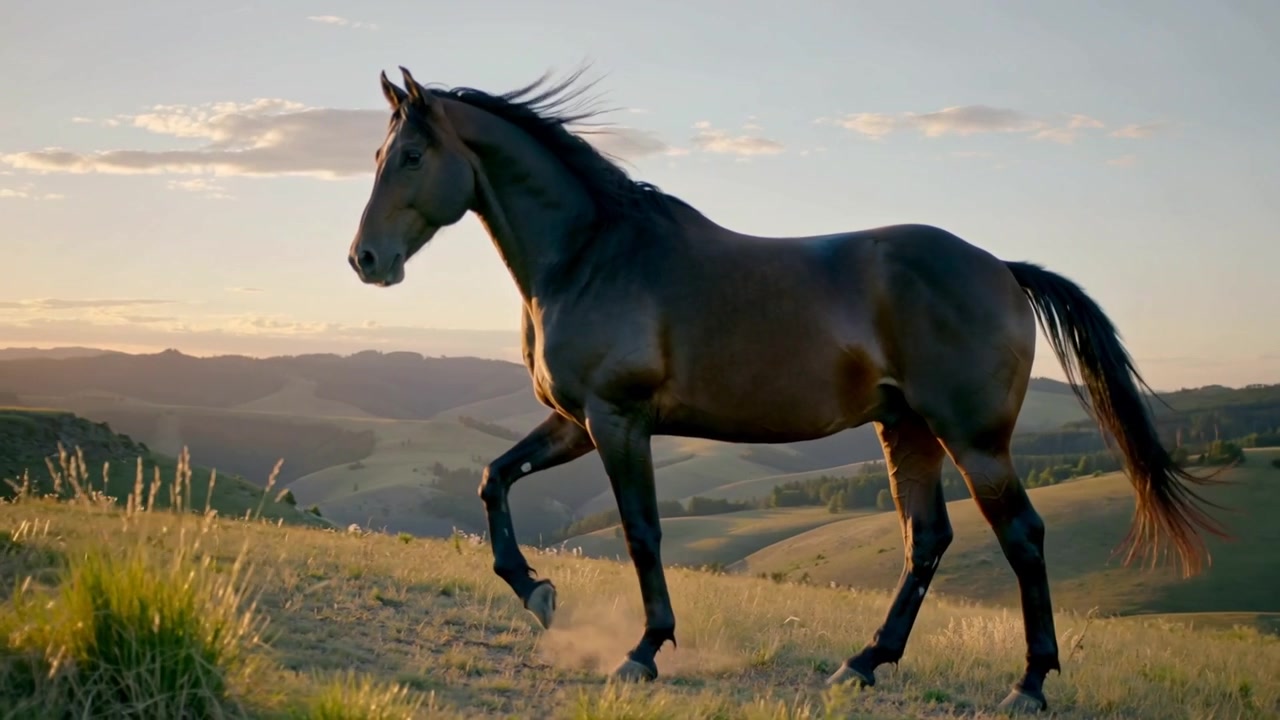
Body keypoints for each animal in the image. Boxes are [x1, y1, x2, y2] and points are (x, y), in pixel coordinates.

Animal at [345, 67, 1229, 713]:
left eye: (411, 157)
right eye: (378, 156)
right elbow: (493, 480)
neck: (592, 254)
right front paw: (537, 592)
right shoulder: (573, 420)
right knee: (927, 540)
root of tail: (1003, 268)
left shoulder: (618, 420)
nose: (365, 261)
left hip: (974, 441)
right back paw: (864, 664)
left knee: (1022, 537)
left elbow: (642, 534)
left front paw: (642, 652)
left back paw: (1030, 684)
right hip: (907, 430)